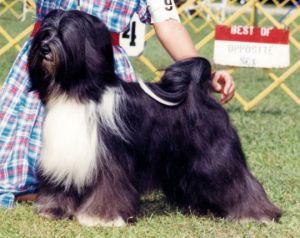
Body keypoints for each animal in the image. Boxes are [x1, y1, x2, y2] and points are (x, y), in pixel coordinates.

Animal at [28, 10, 282, 227]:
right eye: (45, 33)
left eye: (66, 34)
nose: (44, 49)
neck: (78, 93)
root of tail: (198, 93)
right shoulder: (66, 157)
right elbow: (60, 187)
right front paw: (53, 210)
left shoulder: (110, 160)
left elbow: (108, 188)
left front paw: (100, 218)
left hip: (215, 156)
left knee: (238, 182)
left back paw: (256, 213)